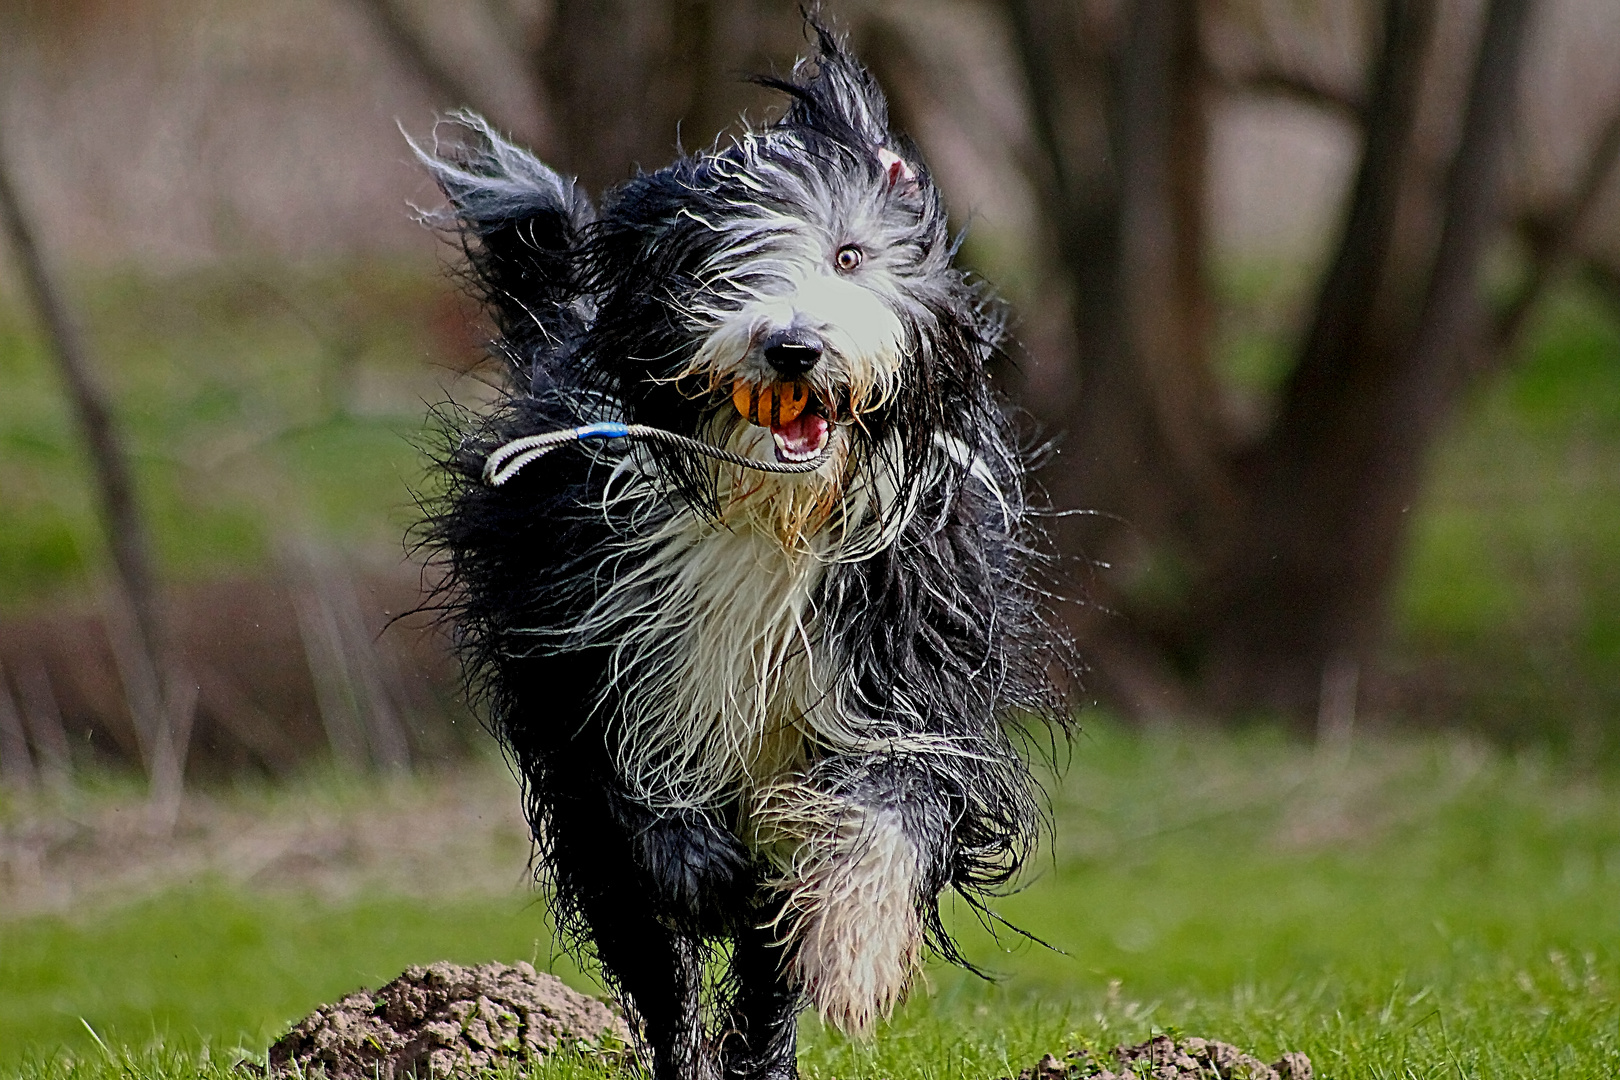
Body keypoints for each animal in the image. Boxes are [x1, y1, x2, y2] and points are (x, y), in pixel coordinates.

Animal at [417, 23, 1062, 1080]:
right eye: (715, 267)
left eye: (849, 254)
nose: (792, 347)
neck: (777, 514)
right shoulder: (594, 660)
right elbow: (643, 821)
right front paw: (702, 873)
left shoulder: (908, 668)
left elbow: (890, 810)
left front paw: (852, 952)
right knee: (654, 957)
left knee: (766, 963)